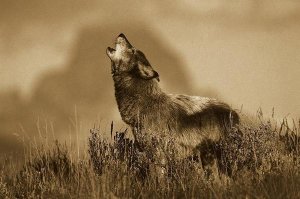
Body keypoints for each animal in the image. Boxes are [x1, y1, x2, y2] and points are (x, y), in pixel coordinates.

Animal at [105, 33, 239, 174]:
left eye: (132, 50)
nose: (121, 34)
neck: (145, 103)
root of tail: (233, 112)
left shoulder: (158, 155)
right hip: (208, 159)